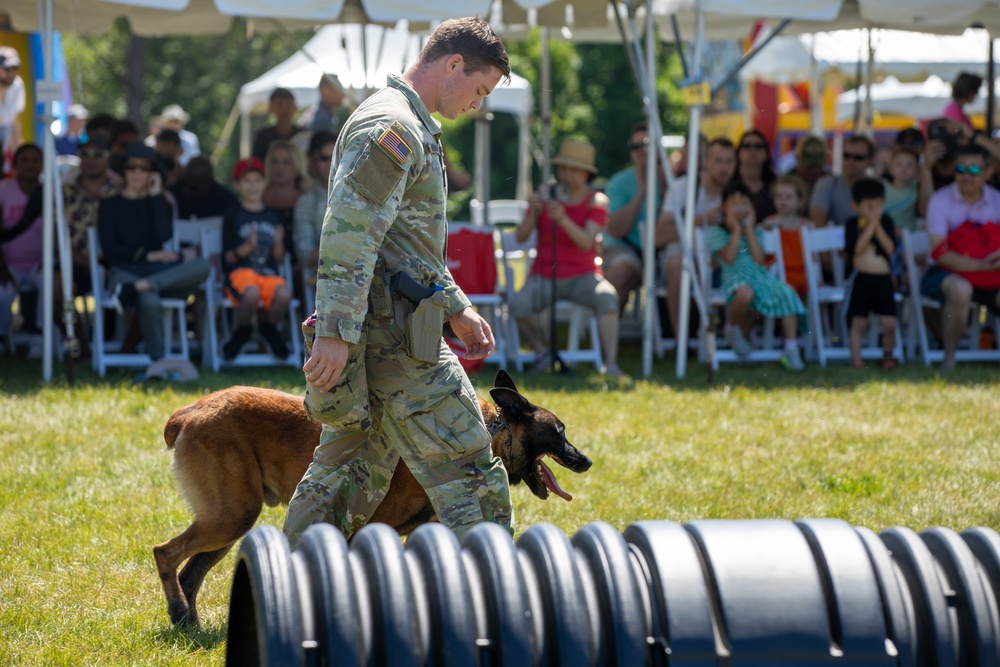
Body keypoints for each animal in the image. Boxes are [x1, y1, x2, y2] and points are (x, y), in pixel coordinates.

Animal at [154, 370, 592, 628]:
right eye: (559, 432)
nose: (586, 460)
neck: (492, 429)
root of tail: (188, 411)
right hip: (232, 516)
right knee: (166, 554)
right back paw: (178, 612)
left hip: (229, 521)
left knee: (190, 573)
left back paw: (189, 624)